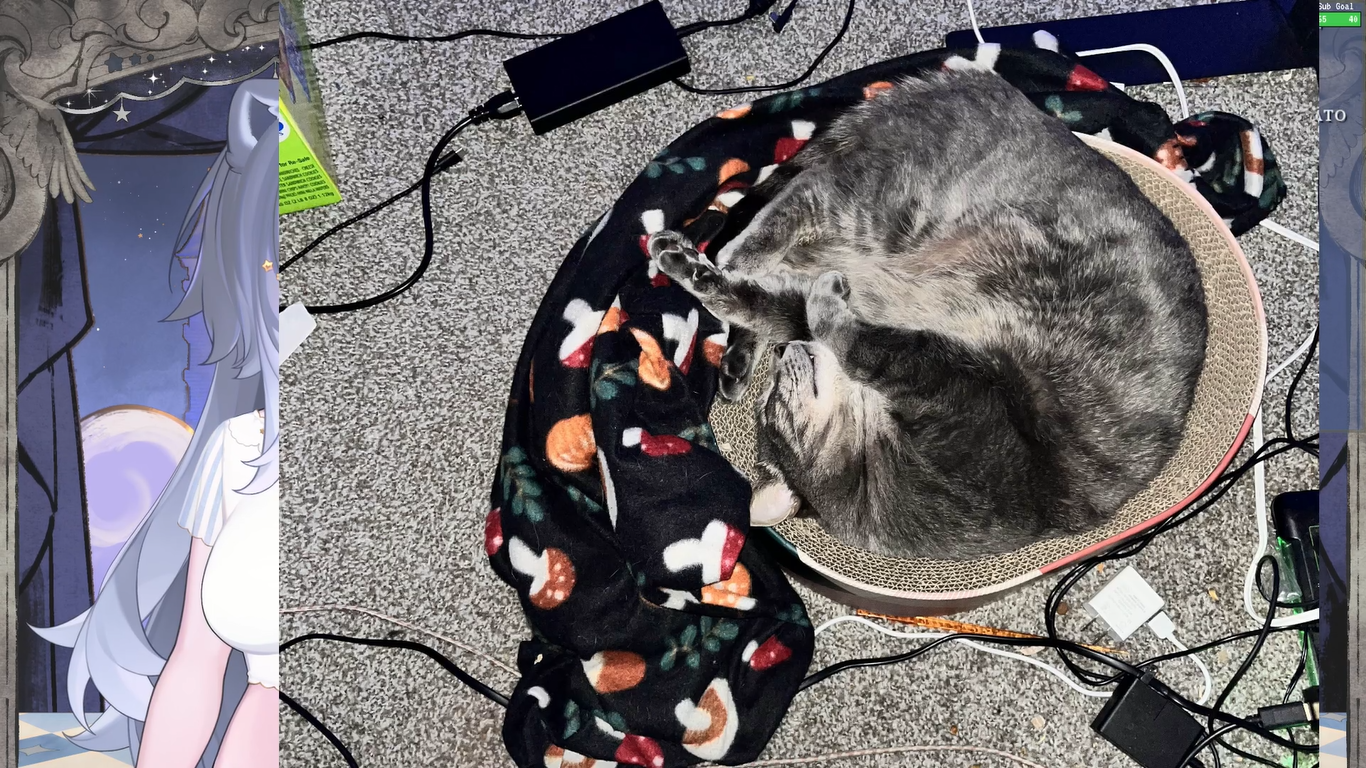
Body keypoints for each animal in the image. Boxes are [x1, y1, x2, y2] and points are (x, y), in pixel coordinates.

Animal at [647, 68, 1208, 560]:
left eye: (774, 399)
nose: (788, 354)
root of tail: (951, 82)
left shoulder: (927, 369)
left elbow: (773, 306)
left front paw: (711, 277)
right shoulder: (921, 362)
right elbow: (782, 309)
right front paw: (708, 277)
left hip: (874, 212)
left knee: (786, 213)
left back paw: (729, 284)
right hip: (871, 211)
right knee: (790, 210)